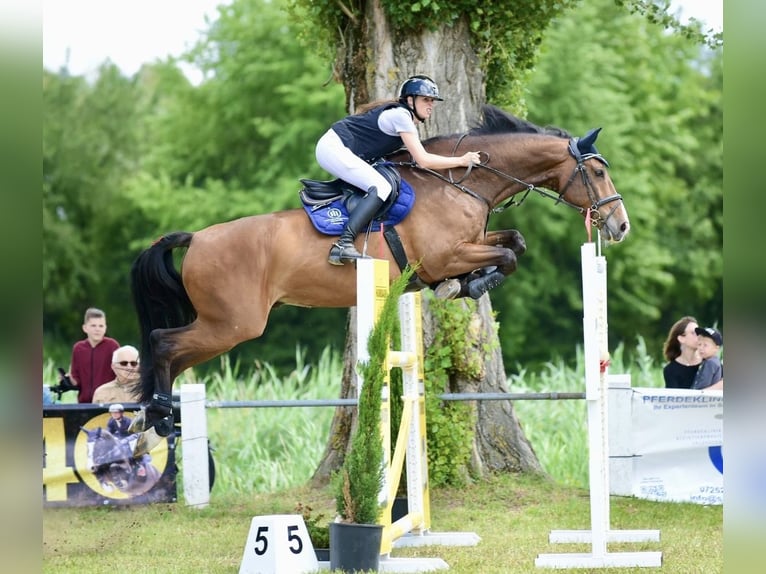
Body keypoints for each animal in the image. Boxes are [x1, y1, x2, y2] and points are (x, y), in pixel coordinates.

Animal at [129, 105, 629, 437]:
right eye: (598, 172)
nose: (620, 225)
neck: (460, 185)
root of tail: (197, 238)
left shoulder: (472, 242)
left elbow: (514, 243)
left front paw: (466, 284)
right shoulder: (447, 255)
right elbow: (504, 258)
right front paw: (463, 286)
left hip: (225, 325)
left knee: (172, 352)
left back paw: (158, 414)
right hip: (234, 323)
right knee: (163, 342)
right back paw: (159, 415)